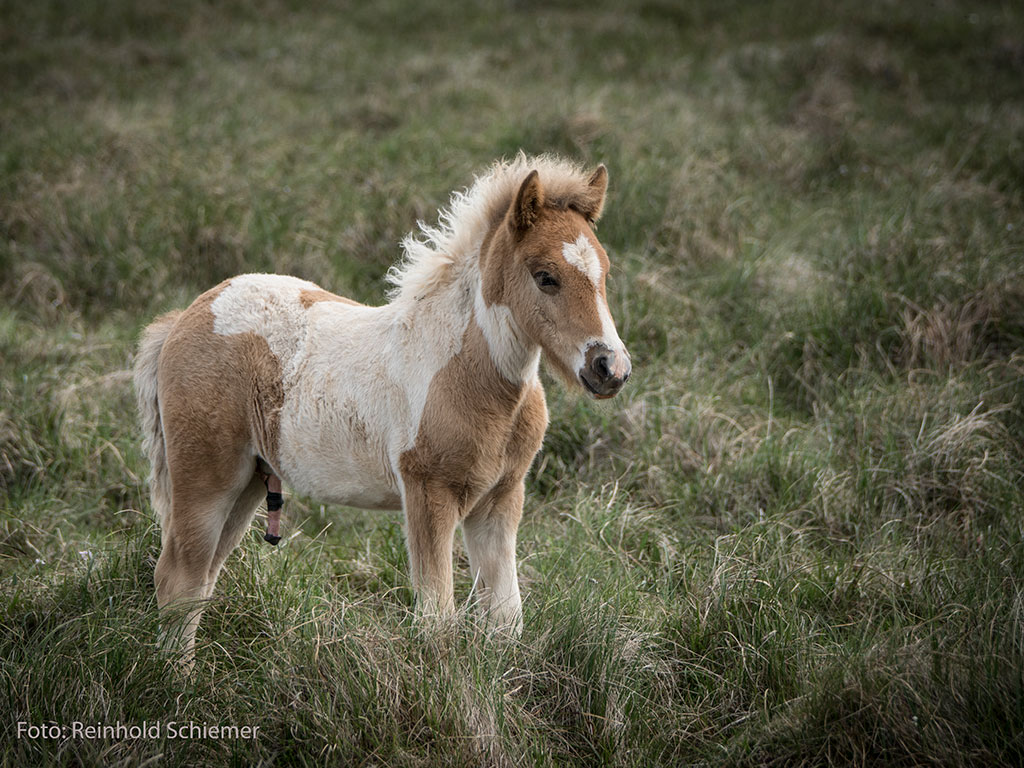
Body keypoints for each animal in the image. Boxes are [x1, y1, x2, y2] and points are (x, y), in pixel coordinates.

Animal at [136, 156, 630, 663]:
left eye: (605, 274)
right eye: (545, 276)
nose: (610, 367)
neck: (468, 375)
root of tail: (186, 316)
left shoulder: (500, 499)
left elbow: (506, 620)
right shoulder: (428, 493)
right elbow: (437, 619)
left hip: (251, 480)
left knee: (202, 580)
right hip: (207, 476)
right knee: (179, 578)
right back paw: (177, 679)